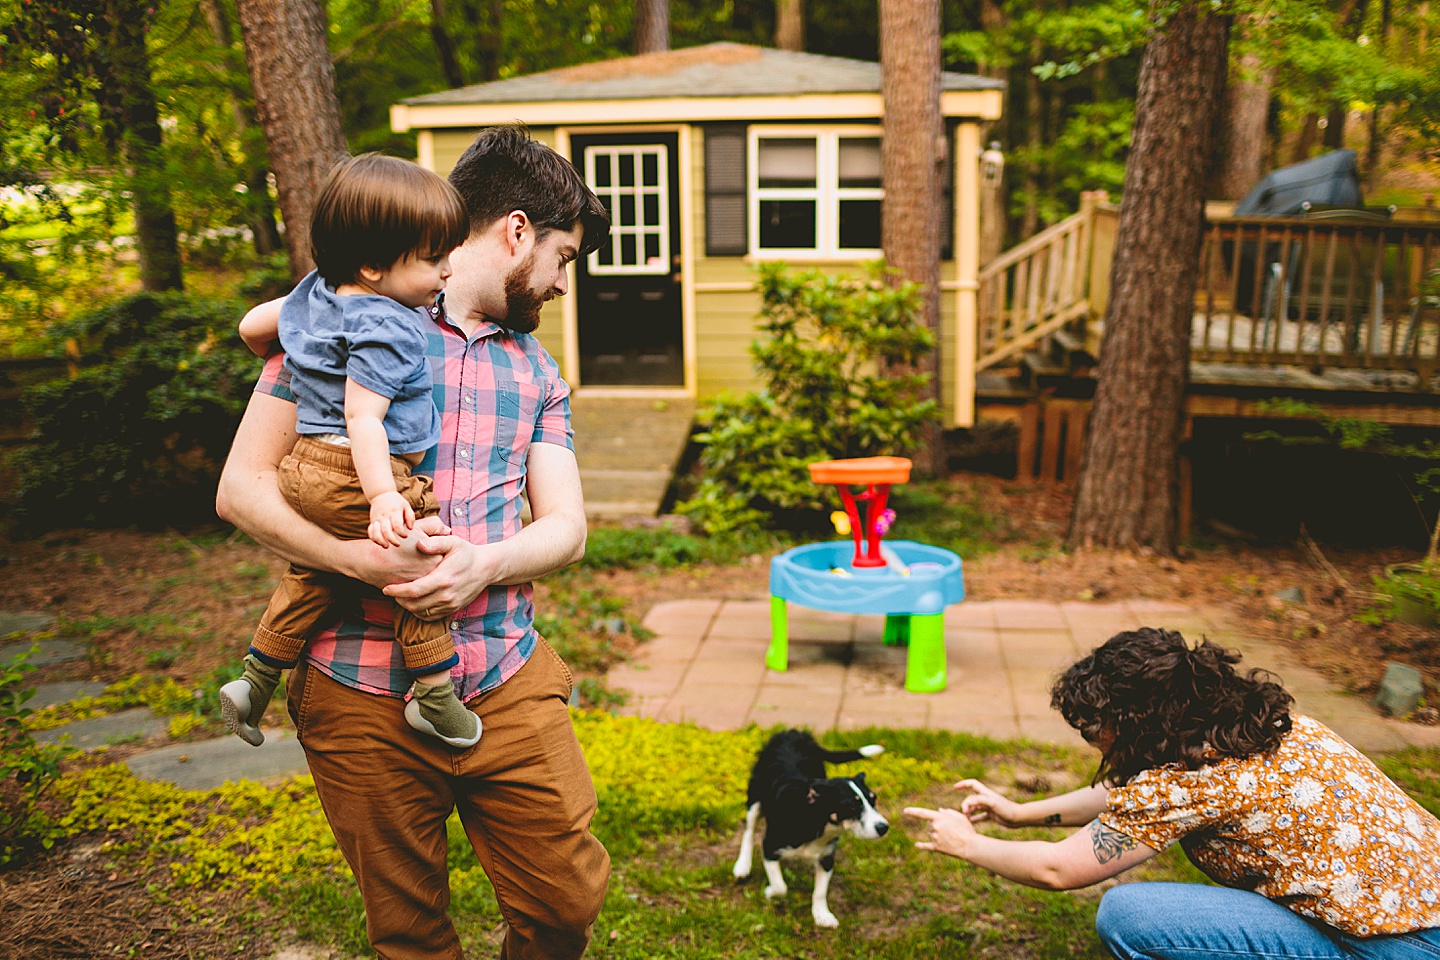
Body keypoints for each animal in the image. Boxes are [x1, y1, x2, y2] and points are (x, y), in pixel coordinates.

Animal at [731, 731, 887, 926]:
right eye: (852, 806)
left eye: (874, 799)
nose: (884, 827)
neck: (815, 822)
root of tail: (793, 733)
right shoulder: (769, 846)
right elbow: (780, 886)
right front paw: (769, 892)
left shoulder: (827, 856)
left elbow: (820, 891)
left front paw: (821, 915)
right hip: (754, 798)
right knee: (749, 831)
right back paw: (743, 865)